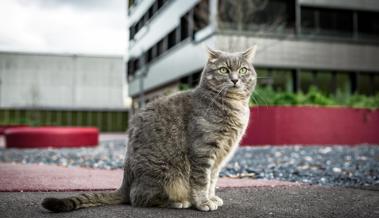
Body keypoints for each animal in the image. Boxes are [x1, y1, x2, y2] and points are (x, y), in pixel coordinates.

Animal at [41, 46, 256, 211]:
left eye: (243, 70)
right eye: (224, 70)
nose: (235, 79)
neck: (234, 106)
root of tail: (125, 182)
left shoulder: (219, 157)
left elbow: (212, 180)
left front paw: (211, 198)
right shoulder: (203, 150)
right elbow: (201, 180)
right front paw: (203, 202)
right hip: (165, 174)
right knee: (139, 198)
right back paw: (179, 202)